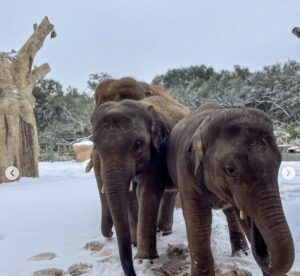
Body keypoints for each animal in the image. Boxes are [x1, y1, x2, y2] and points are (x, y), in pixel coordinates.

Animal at [92, 96, 189, 274]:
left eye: (138, 144)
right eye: (95, 143)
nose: (110, 233)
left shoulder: (158, 151)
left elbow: (147, 192)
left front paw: (144, 258)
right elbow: (131, 195)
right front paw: (135, 244)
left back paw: (165, 232)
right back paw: (162, 231)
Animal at [166, 102, 296, 274]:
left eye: (279, 163)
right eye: (230, 169)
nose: (264, 252)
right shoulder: (186, 169)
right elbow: (198, 219)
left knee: (231, 212)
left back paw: (241, 252)